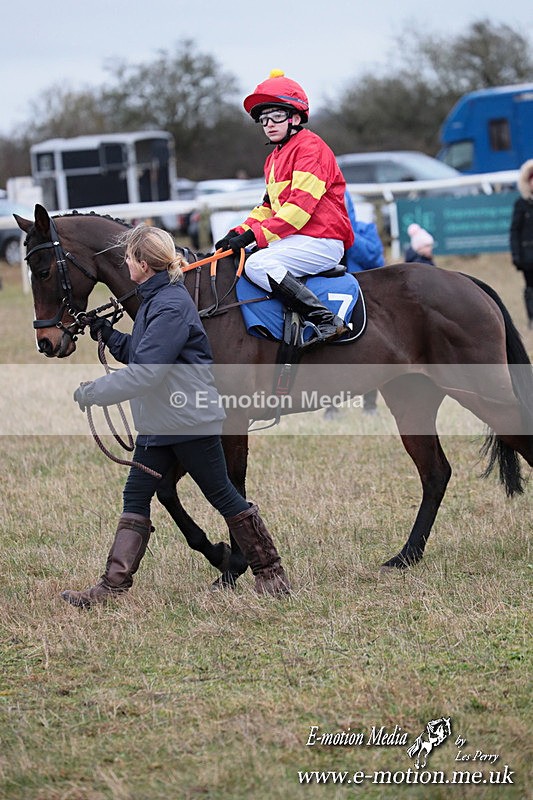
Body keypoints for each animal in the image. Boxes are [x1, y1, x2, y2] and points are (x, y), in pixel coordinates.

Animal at [15, 204, 533, 588]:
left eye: (43, 268)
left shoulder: (229, 422)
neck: (194, 300)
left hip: (482, 392)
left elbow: (230, 486)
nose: (47, 341)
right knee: (435, 473)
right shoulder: (195, 423)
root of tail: (465, 281)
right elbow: (166, 488)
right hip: (411, 399)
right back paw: (406, 556)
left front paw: (236, 564)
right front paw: (221, 554)